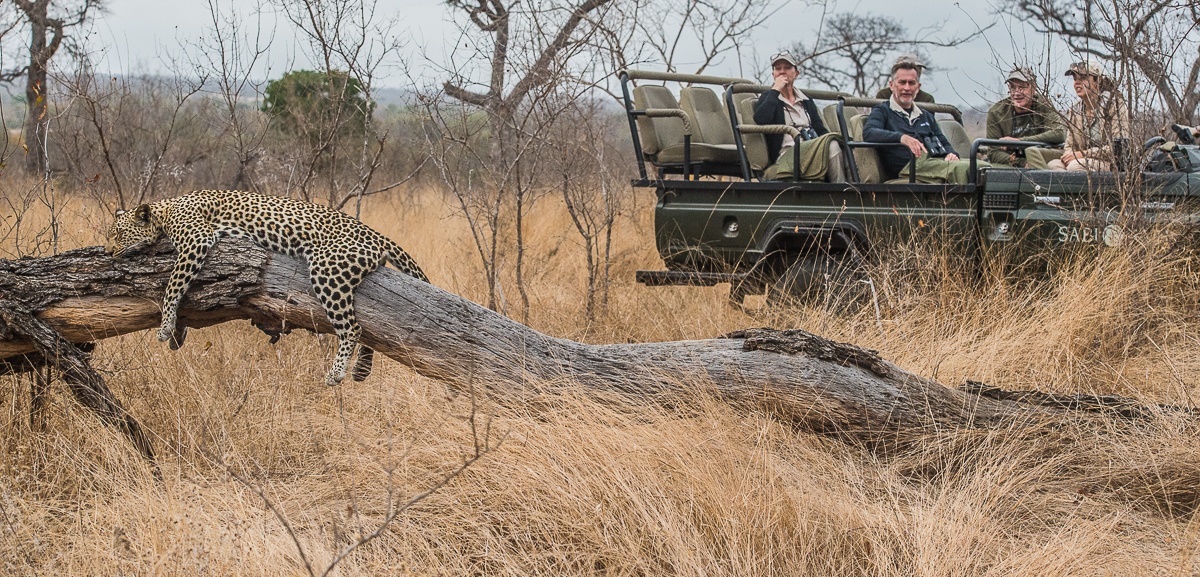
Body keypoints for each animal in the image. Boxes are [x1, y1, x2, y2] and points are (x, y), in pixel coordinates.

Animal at [104, 189, 429, 386]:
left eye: (118, 234)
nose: (107, 252)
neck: (166, 209)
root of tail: (376, 233)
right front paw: (176, 333)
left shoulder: (196, 241)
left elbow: (173, 285)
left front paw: (164, 328)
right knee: (370, 327)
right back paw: (361, 370)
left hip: (327, 269)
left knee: (354, 327)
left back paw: (336, 372)